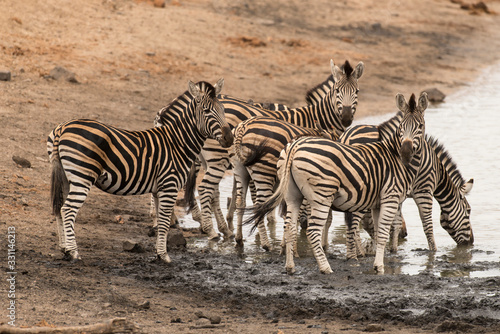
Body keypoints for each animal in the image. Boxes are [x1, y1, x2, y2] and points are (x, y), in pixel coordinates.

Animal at [47, 79, 233, 264]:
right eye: (206, 111)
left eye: (223, 110)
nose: (229, 138)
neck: (177, 143)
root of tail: (62, 128)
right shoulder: (169, 186)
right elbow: (164, 223)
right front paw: (165, 256)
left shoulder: (159, 189)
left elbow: (161, 223)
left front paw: (159, 253)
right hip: (83, 176)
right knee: (68, 210)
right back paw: (73, 252)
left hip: (66, 176)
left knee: (59, 208)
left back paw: (64, 249)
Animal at [178, 59, 366, 240]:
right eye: (337, 91)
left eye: (357, 92)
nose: (346, 118)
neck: (316, 119)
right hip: (218, 158)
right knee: (205, 189)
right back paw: (212, 231)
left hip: (208, 160)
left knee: (213, 192)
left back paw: (224, 229)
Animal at [248, 92, 428, 274]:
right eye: (401, 127)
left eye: (420, 126)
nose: (405, 153)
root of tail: (295, 146)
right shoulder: (390, 198)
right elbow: (383, 233)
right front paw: (379, 267)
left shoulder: (378, 203)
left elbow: (378, 233)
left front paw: (377, 263)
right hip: (322, 195)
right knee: (313, 231)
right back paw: (325, 268)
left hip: (293, 195)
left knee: (290, 227)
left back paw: (290, 267)